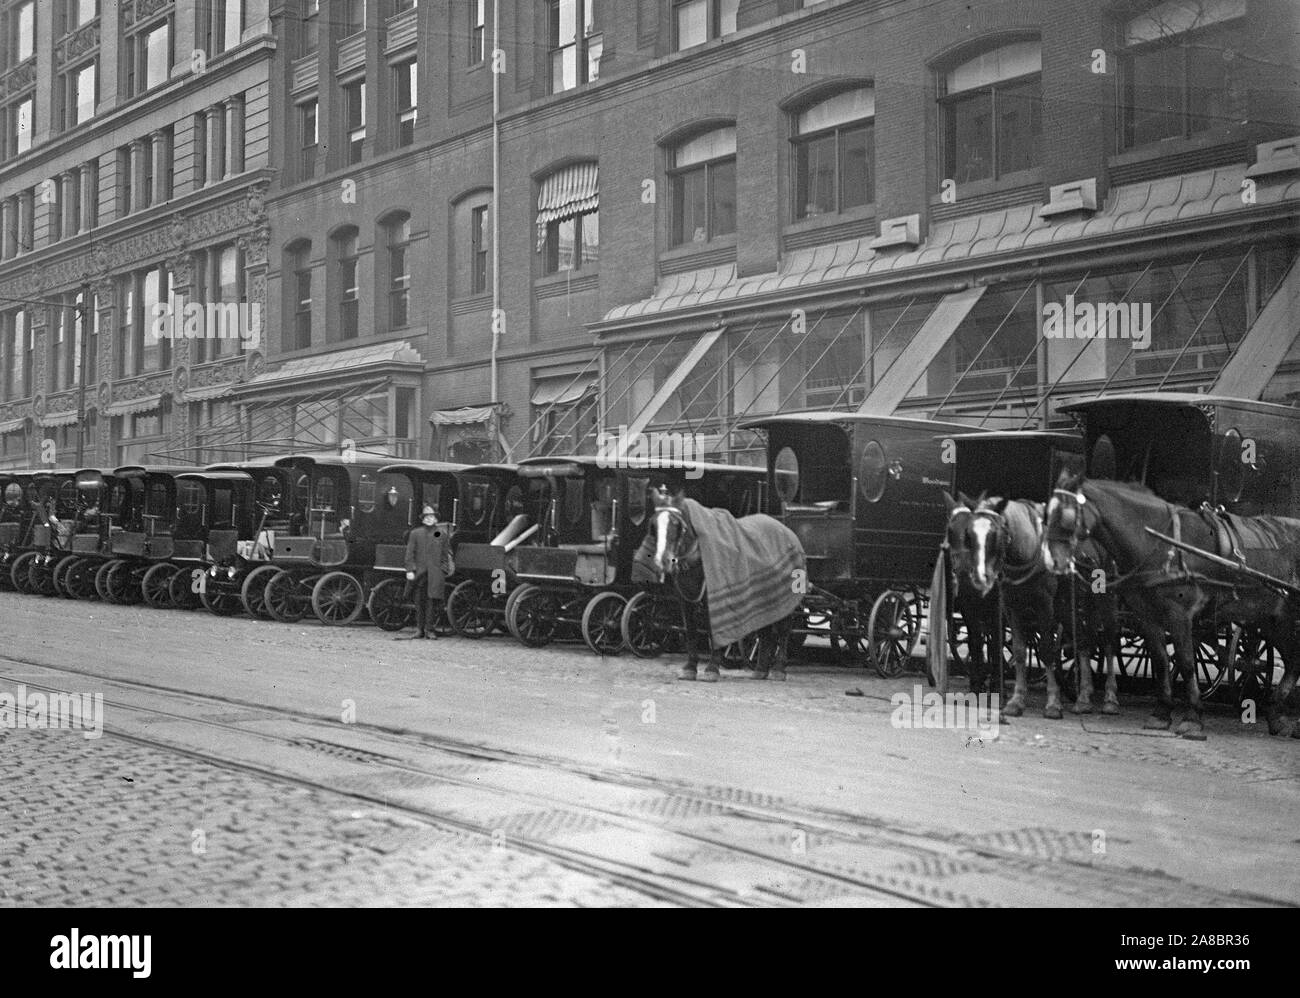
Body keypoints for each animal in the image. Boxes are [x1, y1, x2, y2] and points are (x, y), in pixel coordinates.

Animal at [644, 488, 795, 680]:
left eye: (677, 525)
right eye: (653, 526)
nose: (662, 560)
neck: (698, 555)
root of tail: (786, 530)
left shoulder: (714, 597)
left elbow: (712, 629)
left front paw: (712, 668)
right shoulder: (685, 598)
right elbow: (690, 630)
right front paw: (690, 667)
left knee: (784, 629)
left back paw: (778, 669)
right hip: (763, 595)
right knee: (765, 630)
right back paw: (761, 669)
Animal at [1040, 470, 1300, 738]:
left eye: (1065, 513)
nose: (1050, 559)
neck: (1163, 544)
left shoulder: (1180, 615)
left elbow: (1186, 663)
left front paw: (1193, 717)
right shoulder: (1148, 616)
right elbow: (1161, 660)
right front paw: (1162, 713)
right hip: (1272, 619)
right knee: (1294, 659)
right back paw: (1277, 716)